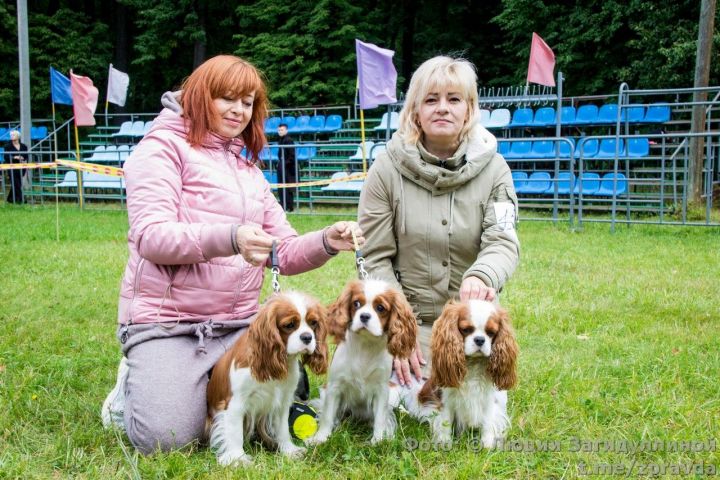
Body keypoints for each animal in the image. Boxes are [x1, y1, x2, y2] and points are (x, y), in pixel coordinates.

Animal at [207, 292, 328, 464]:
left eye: (313, 323)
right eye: (289, 325)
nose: (307, 337)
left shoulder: (283, 401)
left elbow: (282, 428)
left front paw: (289, 450)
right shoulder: (235, 403)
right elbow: (235, 433)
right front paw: (237, 459)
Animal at [308, 280, 420, 444]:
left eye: (380, 308)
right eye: (356, 303)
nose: (364, 316)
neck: (365, 345)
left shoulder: (381, 390)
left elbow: (380, 417)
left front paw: (378, 441)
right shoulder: (334, 387)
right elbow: (328, 415)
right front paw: (321, 438)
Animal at [404, 298, 516, 448]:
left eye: (491, 332)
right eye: (466, 330)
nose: (480, 340)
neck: (473, 363)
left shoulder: (489, 399)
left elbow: (488, 421)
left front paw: (487, 444)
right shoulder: (446, 399)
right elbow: (445, 421)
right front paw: (444, 442)